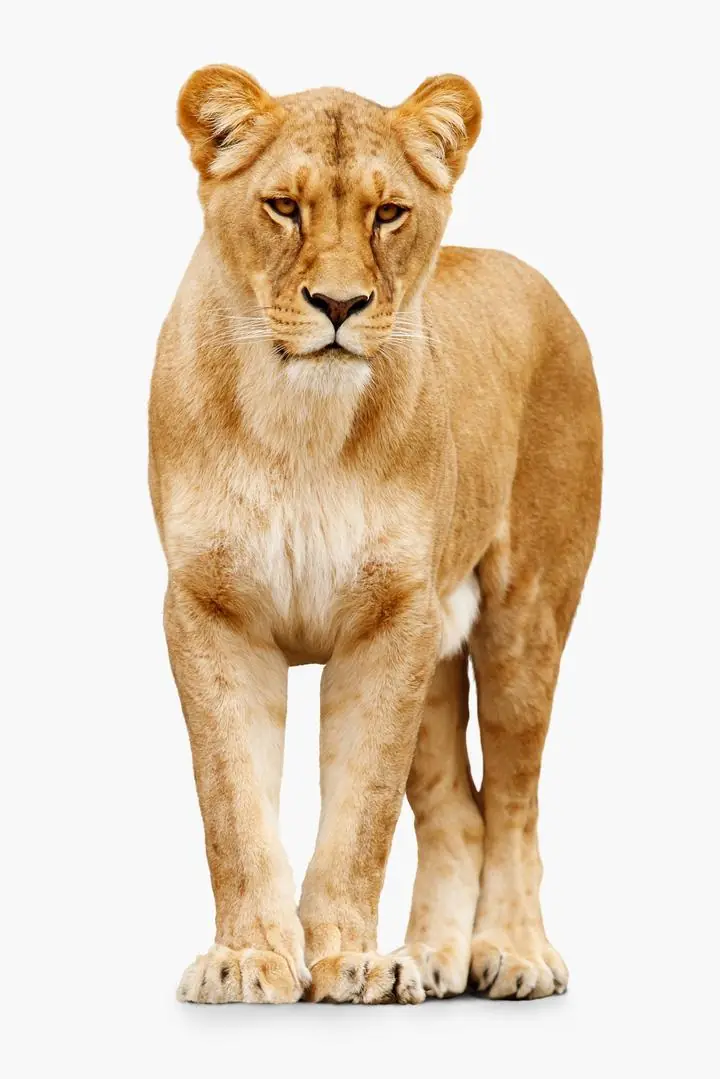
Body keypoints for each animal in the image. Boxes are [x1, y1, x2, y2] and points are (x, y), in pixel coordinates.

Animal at [149, 65, 602, 1004]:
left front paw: (348, 961)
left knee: (514, 800)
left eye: (388, 213)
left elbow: (362, 813)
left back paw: (512, 952)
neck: (299, 424)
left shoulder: (391, 618)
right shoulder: (211, 609)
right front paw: (249, 959)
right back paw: (430, 957)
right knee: (458, 811)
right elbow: (232, 806)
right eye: (283, 207)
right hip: (437, 653)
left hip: (524, 620)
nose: (339, 304)